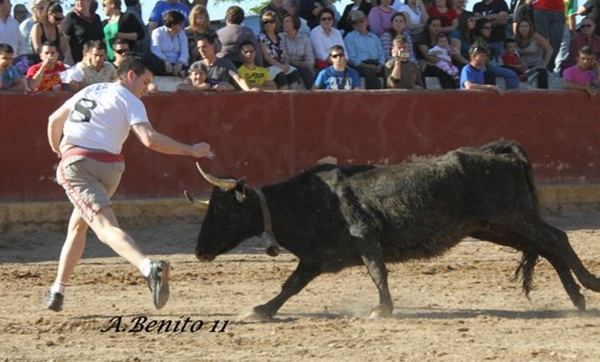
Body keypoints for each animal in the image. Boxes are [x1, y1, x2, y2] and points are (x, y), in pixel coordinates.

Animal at [192, 140, 600, 318]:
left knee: (556, 238)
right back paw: (577, 299)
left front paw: (382, 308)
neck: (305, 201)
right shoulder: (315, 258)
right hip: (494, 226)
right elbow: (290, 285)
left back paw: (590, 284)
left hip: (511, 214)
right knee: (546, 247)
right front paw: (261, 309)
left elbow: (377, 271)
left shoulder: (364, 237)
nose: (199, 251)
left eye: (223, 209)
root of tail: (497, 152)